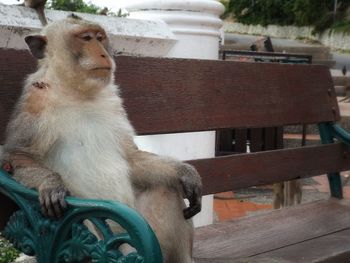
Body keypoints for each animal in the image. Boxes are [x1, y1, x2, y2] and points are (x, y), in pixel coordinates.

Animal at [1, 14, 201, 263]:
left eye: (100, 37)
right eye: (86, 38)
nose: (104, 54)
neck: (77, 92)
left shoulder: (114, 103)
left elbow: (131, 157)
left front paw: (185, 172)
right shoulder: (35, 101)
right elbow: (16, 155)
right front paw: (51, 184)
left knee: (166, 187)